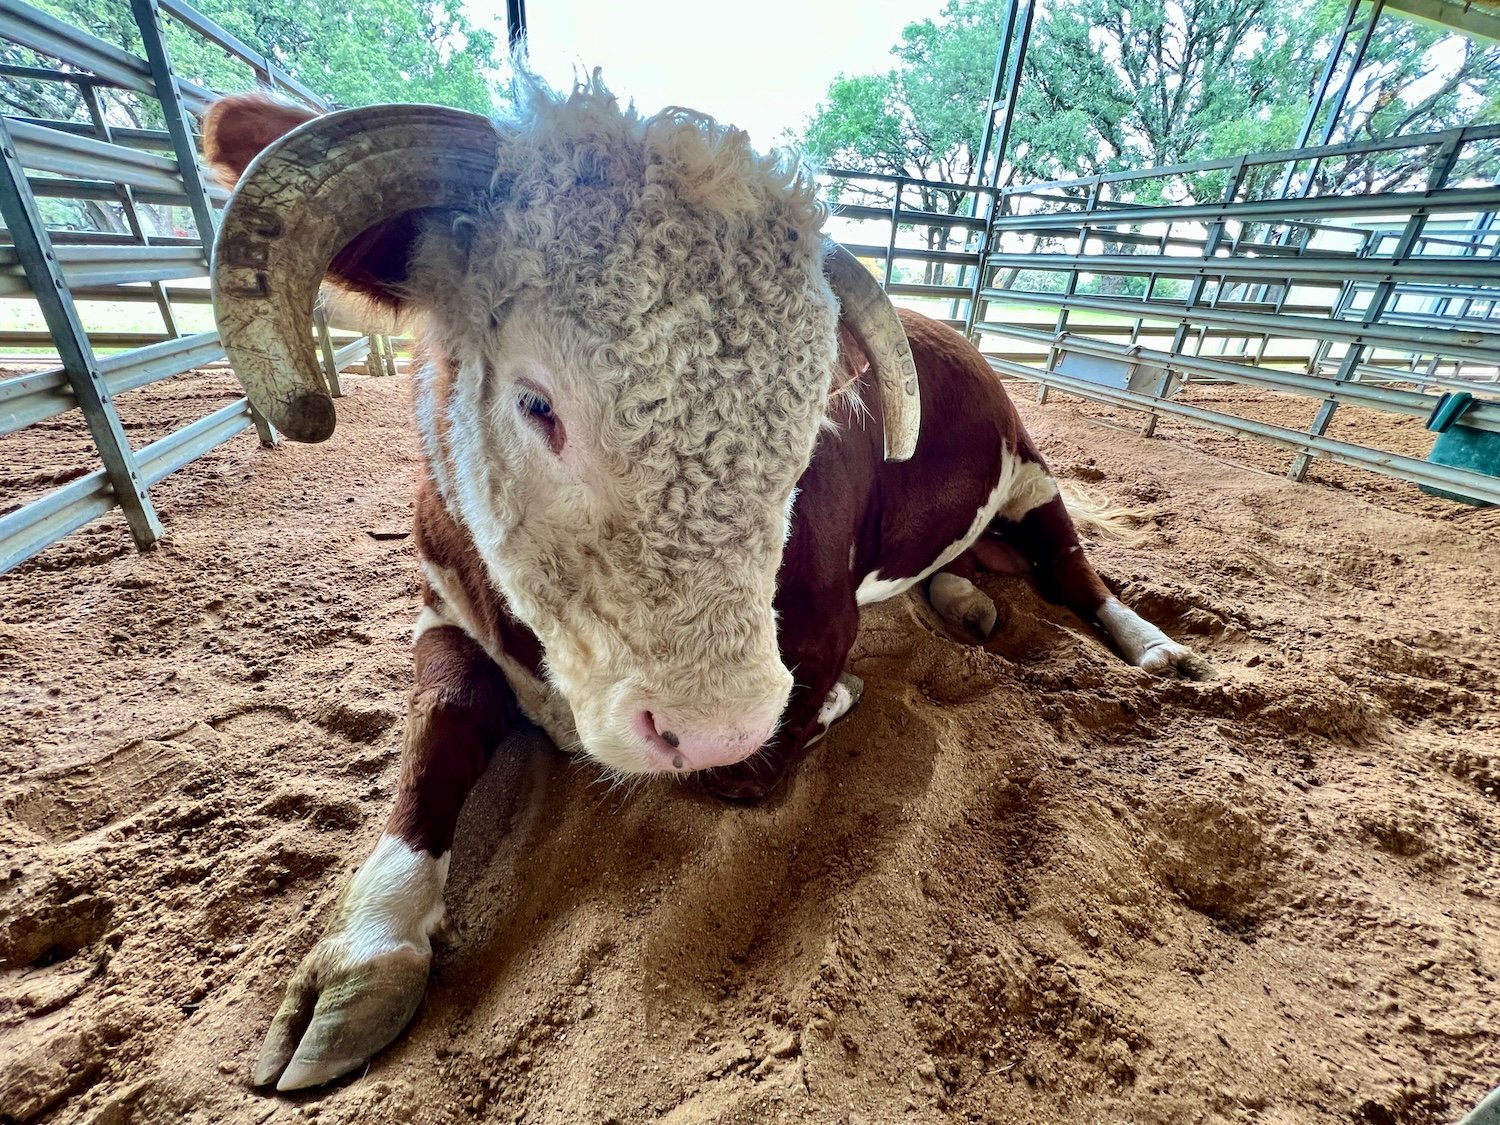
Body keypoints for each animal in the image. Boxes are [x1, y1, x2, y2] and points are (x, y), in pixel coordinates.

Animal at [201, 69, 1211, 1092]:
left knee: (1073, 564)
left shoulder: (817, 631)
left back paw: (1151, 644)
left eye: (808, 425)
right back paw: (964, 596)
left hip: (1031, 467)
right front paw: (361, 955)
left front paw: (832, 702)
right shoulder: (441, 603)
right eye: (535, 402)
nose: (715, 719)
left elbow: (755, 764)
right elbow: (436, 732)